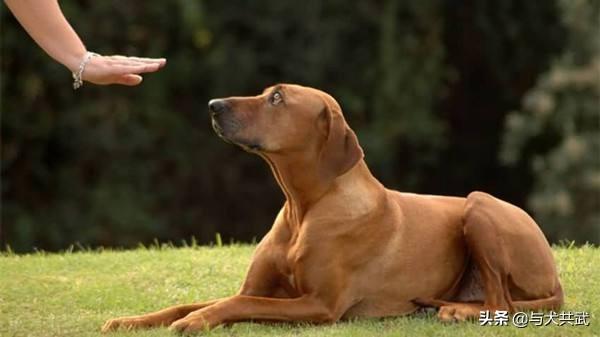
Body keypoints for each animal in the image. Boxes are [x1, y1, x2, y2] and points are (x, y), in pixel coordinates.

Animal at [102, 82, 564, 332]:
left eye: (276, 98)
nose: (214, 105)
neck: (303, 208)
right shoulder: (257, 287)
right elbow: (193, 302)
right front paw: (130, 321)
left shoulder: (320, 305)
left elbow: (235, 305)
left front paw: (196, 322)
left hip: (479, 205)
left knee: (503, 304)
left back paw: (455, 311)